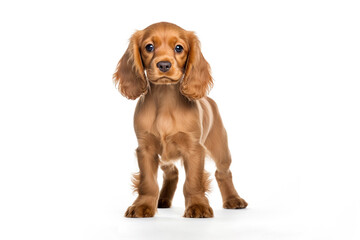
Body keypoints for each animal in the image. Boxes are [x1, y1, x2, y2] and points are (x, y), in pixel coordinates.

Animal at [114, 22, 246, 218]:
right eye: (149, 47)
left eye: (179, 48)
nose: (163, 64)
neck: (165, 99)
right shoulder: (146, 149)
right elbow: (148, 182)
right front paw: (142, 206)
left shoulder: (194, 149)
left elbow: (193, 181)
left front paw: (198, 206)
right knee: (172, 172)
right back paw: (162, 200)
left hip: (221, 149)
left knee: (223, 173)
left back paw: (233, 200)